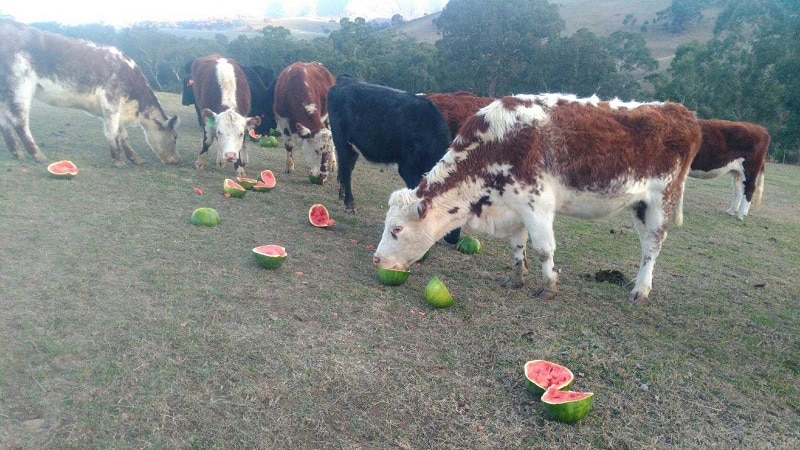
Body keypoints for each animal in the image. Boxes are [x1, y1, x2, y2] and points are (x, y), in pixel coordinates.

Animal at [0, 19, 178, 166]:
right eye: (175, 137)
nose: (177, 160)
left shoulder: (115, 109)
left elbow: (122, 133)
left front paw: (134, 158)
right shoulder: (111, 101)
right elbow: (113, 132)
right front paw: (118, 160)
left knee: (4, 122)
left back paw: (17, 153)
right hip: (20, 87)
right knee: (19, 121)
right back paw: (38, 155)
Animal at [324, 78, 462, 246]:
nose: (454, 239)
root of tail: (346, 79)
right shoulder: (407, 168)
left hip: (353, 148)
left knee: (346, 169)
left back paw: (342, 196)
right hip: (341, 141)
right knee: (345, 170)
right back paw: (349, 204)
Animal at [374, 95, 700, 306]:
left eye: (396, 229)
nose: (377, 259)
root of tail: (680, 111)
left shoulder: (537, 204)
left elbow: (544, 249)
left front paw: (549, 286)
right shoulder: (513, 206)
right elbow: (518, 245)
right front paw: (517, 278)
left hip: (661, 201)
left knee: (652, 246)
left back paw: (641, 291)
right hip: (640, 205)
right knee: (646, 246)